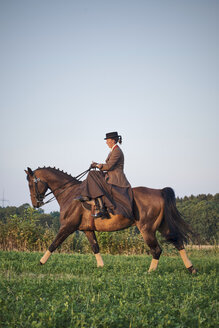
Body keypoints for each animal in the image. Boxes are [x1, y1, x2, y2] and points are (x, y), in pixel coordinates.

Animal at [24, 168, 196, 272]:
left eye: (31, 183)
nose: (35, 204)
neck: (71, 194)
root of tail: (159, 191)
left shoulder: (67, 227)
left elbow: (54, 244)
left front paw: (40, 263)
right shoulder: (87, 229)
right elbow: (95, 247)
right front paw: (101, 267)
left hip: (147, 229)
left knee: (157, 250)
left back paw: (150, 272)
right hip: (162, 226)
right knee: (177, 242)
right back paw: (191, 269)